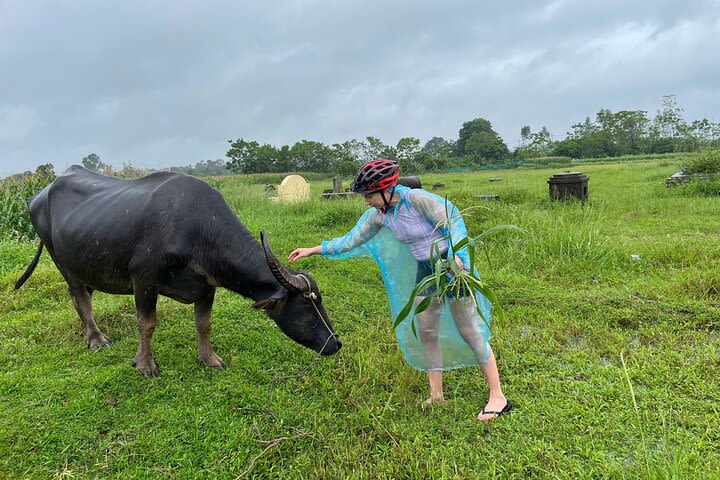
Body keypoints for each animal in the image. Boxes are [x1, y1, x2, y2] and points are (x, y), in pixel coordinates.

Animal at [14, 165, 341, 376]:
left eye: (319, 301)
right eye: (306, 306)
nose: (335, 343)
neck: (193, 228)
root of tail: (39, 194)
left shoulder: (207, 285)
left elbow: (203, 324)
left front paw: (209, 359)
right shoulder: (143, 280)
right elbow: (147, 323)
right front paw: (145, 364)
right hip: (61, 261)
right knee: (79, 298)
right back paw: (96, 339)